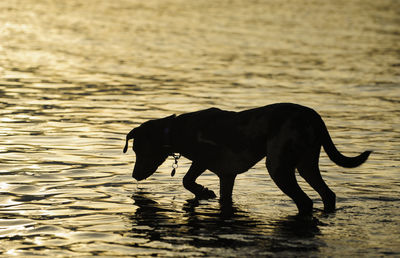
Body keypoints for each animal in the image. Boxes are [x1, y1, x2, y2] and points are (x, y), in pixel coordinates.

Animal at [123, 102, 370, 214]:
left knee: (305, 201)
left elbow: (186, 180)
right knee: (328, 195)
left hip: (278, 166)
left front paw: (204, 191)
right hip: (306, 165)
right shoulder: (227, 176)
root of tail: (314, 116)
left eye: (137, 150)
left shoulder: (204, 158)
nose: (134, 175)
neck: (175, 130)